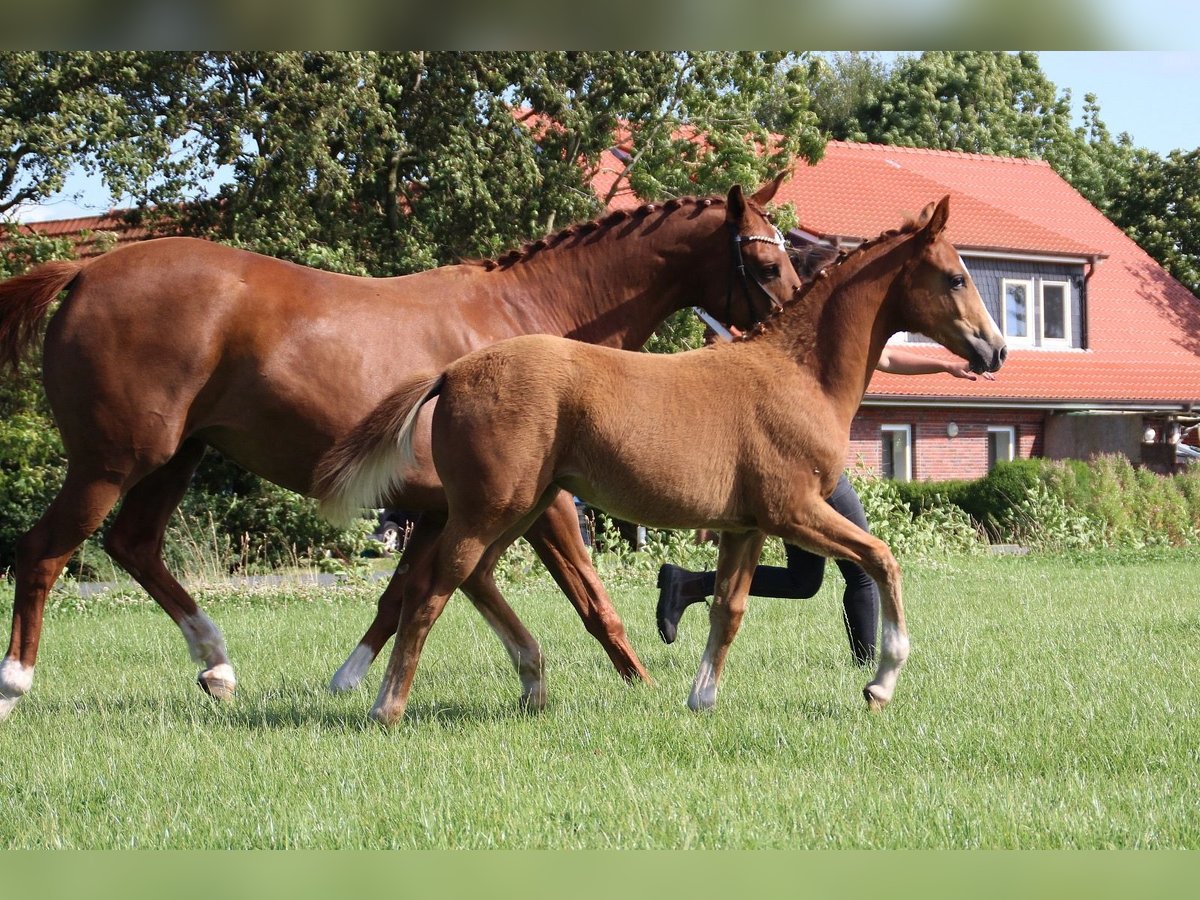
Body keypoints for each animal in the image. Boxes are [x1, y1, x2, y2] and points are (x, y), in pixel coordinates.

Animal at [2, 180, 806, 724]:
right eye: (766, 266)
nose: (796, 327)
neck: (529, 316)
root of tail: (86, 270)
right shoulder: (544, 506)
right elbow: (591, 599)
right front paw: (646, 686)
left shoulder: (437, 510)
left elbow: (404, 596)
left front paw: (352, 680)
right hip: (111, 463)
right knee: (42, 553)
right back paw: (16, 685)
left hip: (175, 458)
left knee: (134, 547)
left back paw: (217, 667)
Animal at [314, 195, 1008, 724]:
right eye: (955, 277)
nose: (994, 351)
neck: (797, 372)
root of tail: (453, 371)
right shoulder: (794, 511)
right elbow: (882, 558)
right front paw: (880, 682)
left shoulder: (746, 526)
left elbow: (729, 608)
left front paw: (701, 699)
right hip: (493, 509)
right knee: (434, 590)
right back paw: (388, 707)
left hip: (522, 508)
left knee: (474, 578)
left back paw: (533, 683)